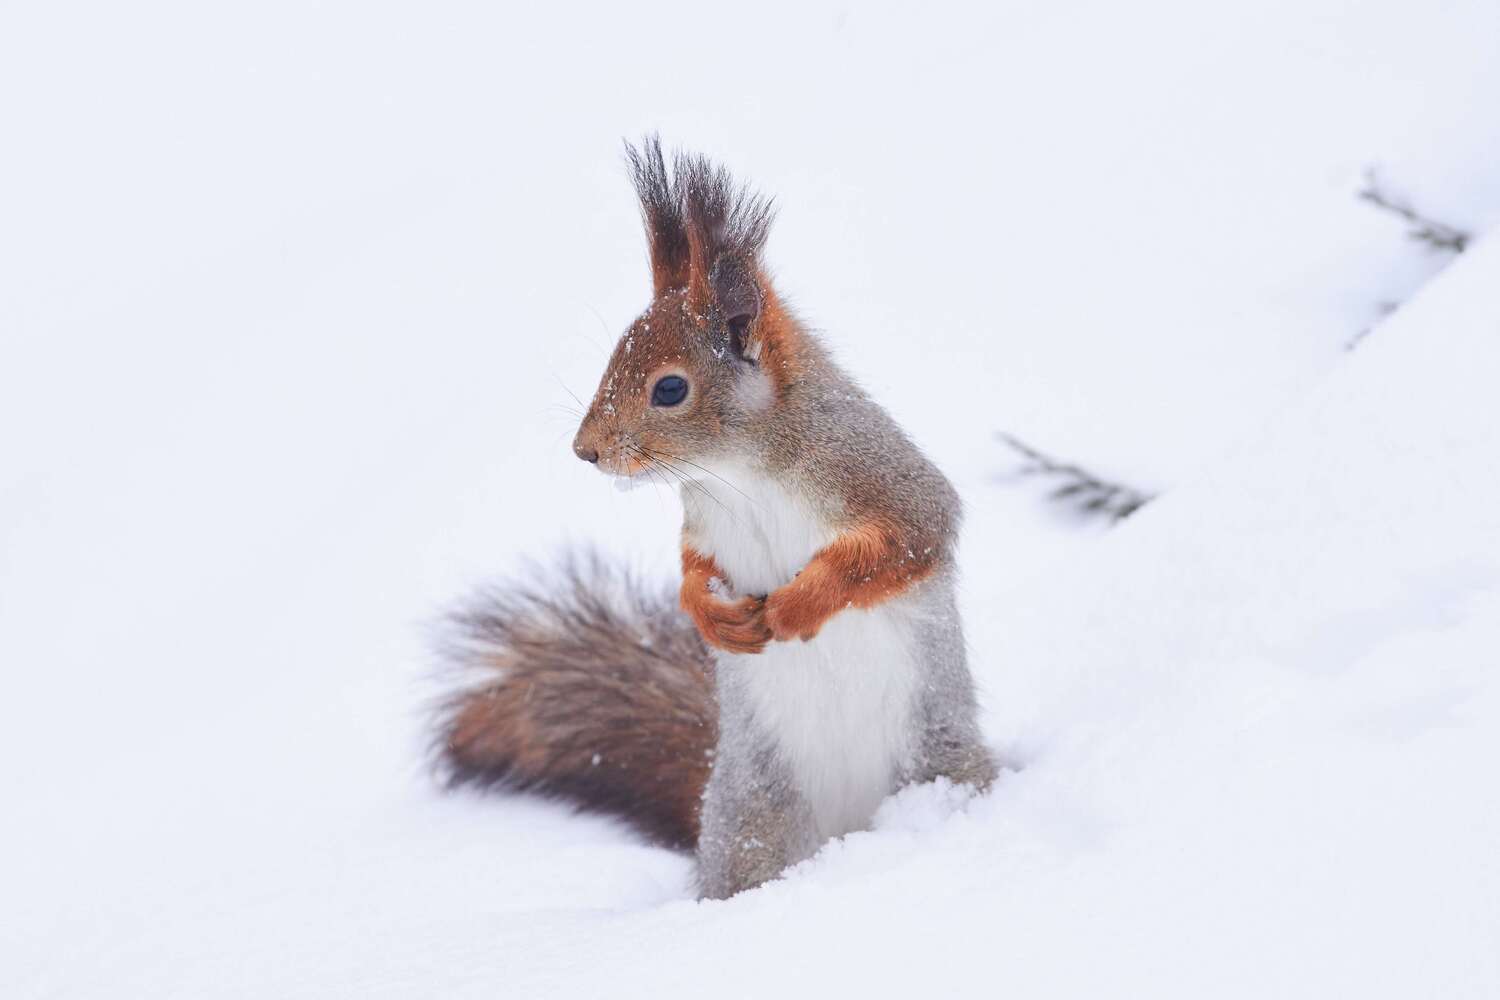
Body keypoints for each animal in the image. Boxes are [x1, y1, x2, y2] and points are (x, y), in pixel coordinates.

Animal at [436, 137, 995, 899]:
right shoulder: (703, 520)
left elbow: (908, 540)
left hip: (937, 756)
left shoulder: (884, 481)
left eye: (670, 388)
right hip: (751, 816)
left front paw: (795, 606)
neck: (742, 472)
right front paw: (712, 615)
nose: (587, 451)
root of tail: (851, 834)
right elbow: (691, 569)